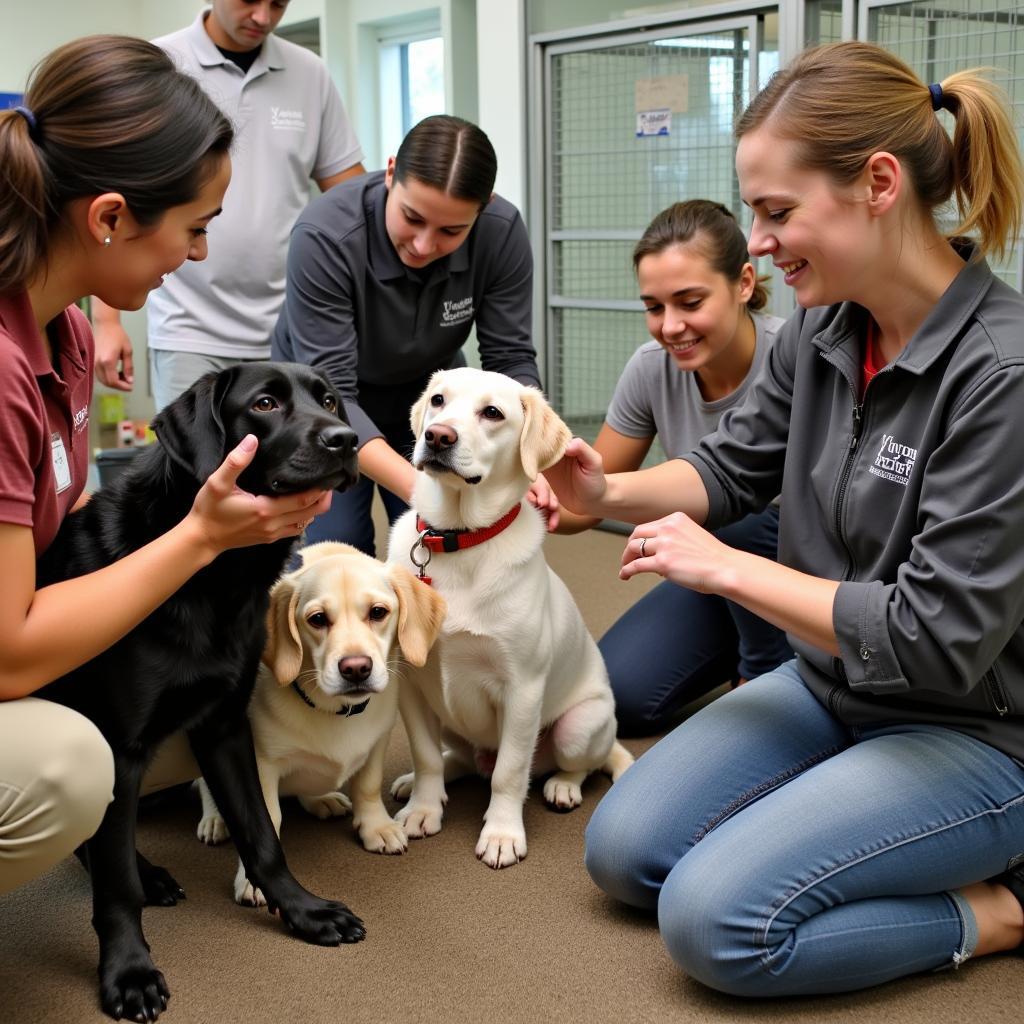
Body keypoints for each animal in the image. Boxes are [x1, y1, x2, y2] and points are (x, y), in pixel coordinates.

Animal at [36, 364, 364, 1019]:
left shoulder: (224, 727)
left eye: (329, 399)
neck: (215, 577)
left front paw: (304, 912)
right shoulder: (119, 747)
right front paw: (129, 972)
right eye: (264, 404)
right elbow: (115, 887)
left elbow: (262, 834)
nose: (347, 440)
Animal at [195, 540, 444, 901]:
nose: (356, 668)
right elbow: (265, 818)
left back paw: (320, 799)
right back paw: (216, 819)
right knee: (205, 784)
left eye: (378, 612)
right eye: (317, 619)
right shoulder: (259, 763)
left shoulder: (378, 742)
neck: (333, 709)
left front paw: (376, 827)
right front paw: (256, 879)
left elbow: (368, 786)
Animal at [387, 364, 634, 868]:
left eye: (493, 413)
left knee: (579, 764)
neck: (458, 537)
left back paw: (563, 786)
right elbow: (425, 756)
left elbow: (510, 772)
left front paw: (501, 834)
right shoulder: (412, 684)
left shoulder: (522, 689)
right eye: (438, 401)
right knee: (457, 759)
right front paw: (423, 808)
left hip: (580, 726)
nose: (437, 436)